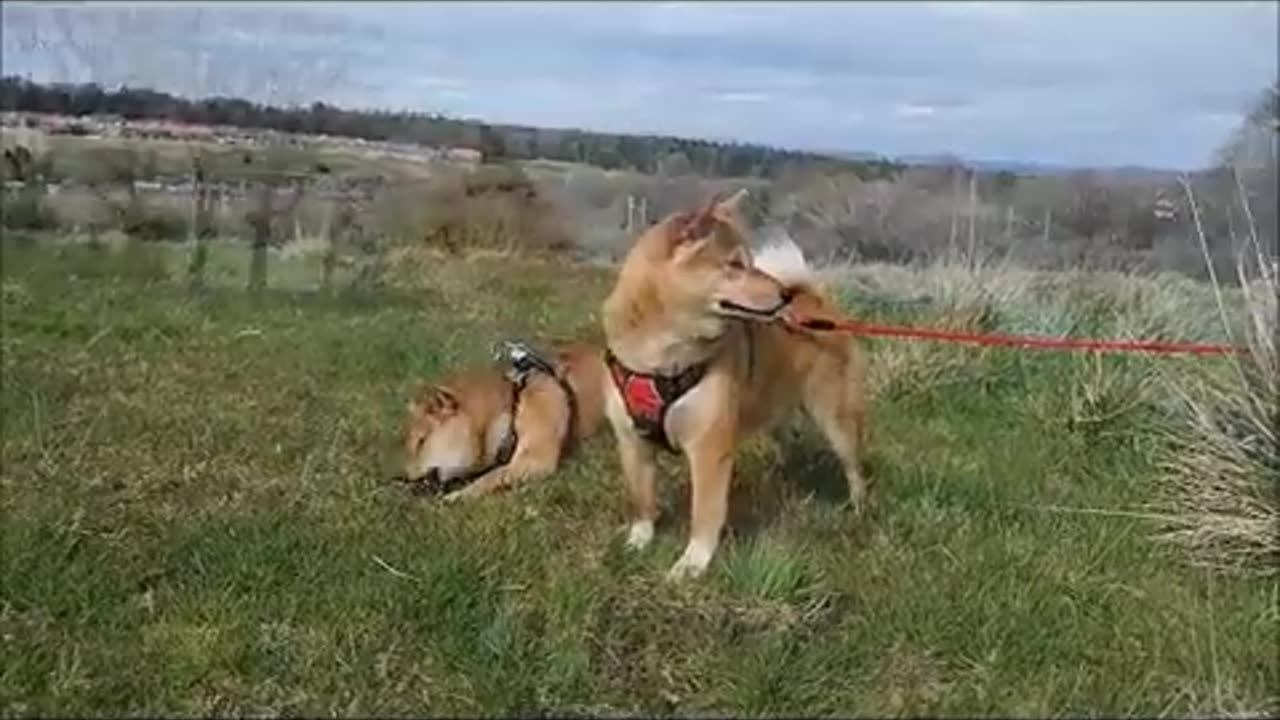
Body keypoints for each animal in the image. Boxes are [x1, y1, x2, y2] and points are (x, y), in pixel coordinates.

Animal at [399, 340, 604, 499]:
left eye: (421, 442)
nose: (407, 477)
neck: (513, 401)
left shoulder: (536, 457)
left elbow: (491, 477)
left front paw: (459, 495)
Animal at [599, 189, 870, 576]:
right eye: (735, 265)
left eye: (752, 262)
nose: (784, 295)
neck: (661, 357)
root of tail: (817, 302)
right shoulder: (632, 440)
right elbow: (642, 498)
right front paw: (638, 541)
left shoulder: (708, 446)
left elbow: (705, 513)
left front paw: (691, 565)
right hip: (773, 408)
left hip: (836, 418)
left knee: (853, 468)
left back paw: (859, 510)